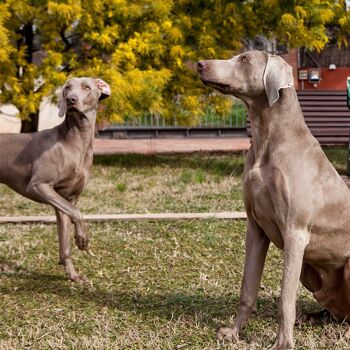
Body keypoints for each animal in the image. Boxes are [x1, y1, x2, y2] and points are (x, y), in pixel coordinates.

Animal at [0, 78, 110, 284]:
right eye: (67, 87)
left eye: (86, 87)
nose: (70, 99)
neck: (76, 141)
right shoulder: (38, 186)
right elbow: (77, 213)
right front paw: (82, 238)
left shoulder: (67, 197)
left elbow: (65, 238)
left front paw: (73, 275)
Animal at [198, 50, 350, 348]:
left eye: (244, 59)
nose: (200, 64)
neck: (267, 140)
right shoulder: (255, 228)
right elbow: (247, 288)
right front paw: (234, 332)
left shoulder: (295, 232)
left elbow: (285, 299)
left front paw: (283, 342)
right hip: (310, 273)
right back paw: (313, 317)